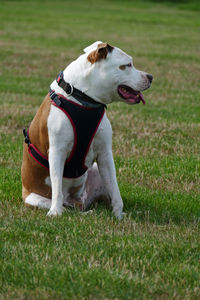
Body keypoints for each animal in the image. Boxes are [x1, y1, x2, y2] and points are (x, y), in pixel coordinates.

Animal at [21, 41, 153, 219]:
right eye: (127, 65)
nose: (150, 77)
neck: (82, 98)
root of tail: (78, 200)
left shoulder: (105, 154)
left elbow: (115, 189)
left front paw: (119, 214)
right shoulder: (56, 152)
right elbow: (57, 188)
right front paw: (54, 212)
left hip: (95, 171)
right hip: (35, 199)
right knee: (67, 208)